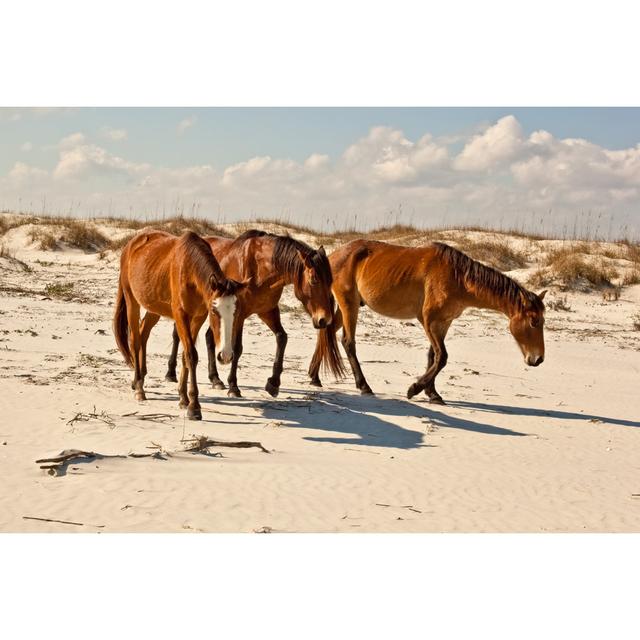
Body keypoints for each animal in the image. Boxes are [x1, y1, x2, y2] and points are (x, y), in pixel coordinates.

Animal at [114, 230, 246, 420]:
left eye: (236, 313)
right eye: (214, 311)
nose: (226, 355)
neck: (190, 268)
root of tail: (131, 244)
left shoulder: (198, 317)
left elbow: (185, 356)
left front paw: (184, 398)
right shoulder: (181, 315)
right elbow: (191, 355)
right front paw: (194, 407)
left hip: (154, 307)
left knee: (143, 331)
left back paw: (138, 380)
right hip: (132, 301)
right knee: (136, 340)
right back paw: (139, 387)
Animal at [162, 230, 344, 398]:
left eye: (330, 280)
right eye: (314, 280)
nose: (324, 319)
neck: (260, 269)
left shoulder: (267, 311)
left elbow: (282, 338)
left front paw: (273, 383)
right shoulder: (240, 314)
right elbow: (237, 348)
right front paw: (233, 386)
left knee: (208, 337)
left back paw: (215, 379)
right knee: (178, 335)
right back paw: (171, 373)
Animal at [308, 238, 548, 402]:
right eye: (534, 321)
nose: (538, 359)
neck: (458, 277)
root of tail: (333, 256)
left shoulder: (443, 322)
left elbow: (433, 356)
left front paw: (432, 393)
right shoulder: (429, 321)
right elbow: (442, 357)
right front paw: (414, 389)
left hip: (348, 307)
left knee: (326, 332)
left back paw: (314, 376)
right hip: (349, 305)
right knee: (348, 342)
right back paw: (364, 386)